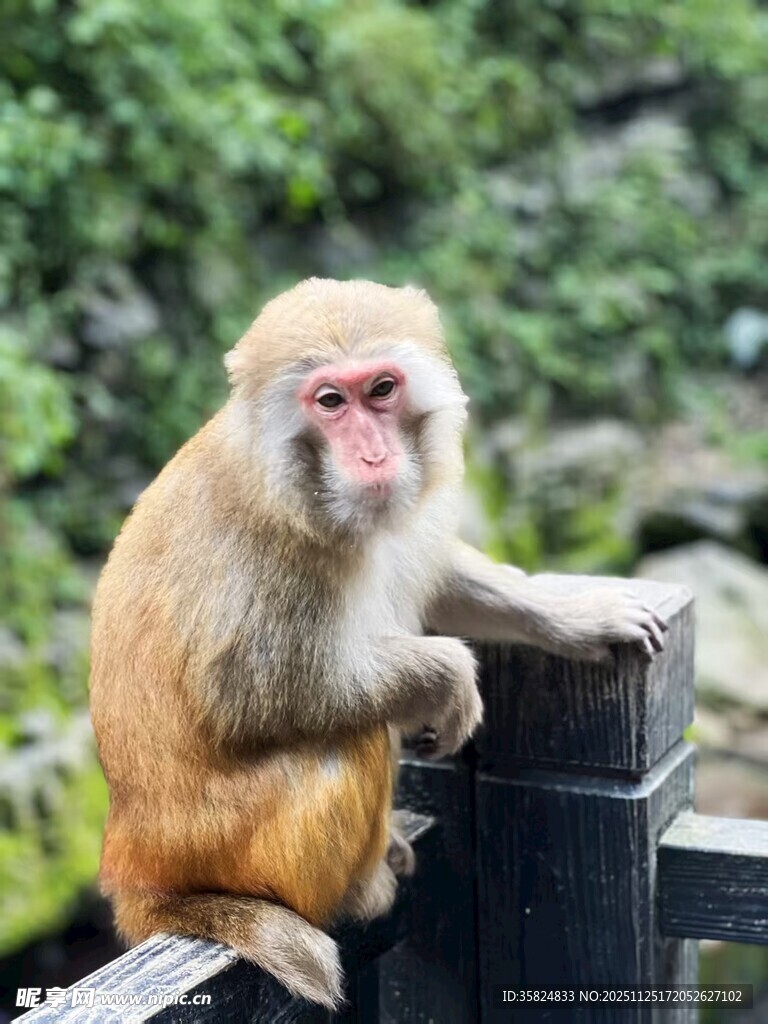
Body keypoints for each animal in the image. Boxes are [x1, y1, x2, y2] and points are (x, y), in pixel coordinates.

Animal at [89, 278, 668, 1009]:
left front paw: (579, 615)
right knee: (349, 733)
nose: (373, 455)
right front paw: (450, 676)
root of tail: (137, 869)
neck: (308, 489)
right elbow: (246, 694)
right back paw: (361, 889)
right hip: (245, 852)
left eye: (382, 389)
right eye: (331, 402)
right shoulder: (270, 549)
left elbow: (436, 577)